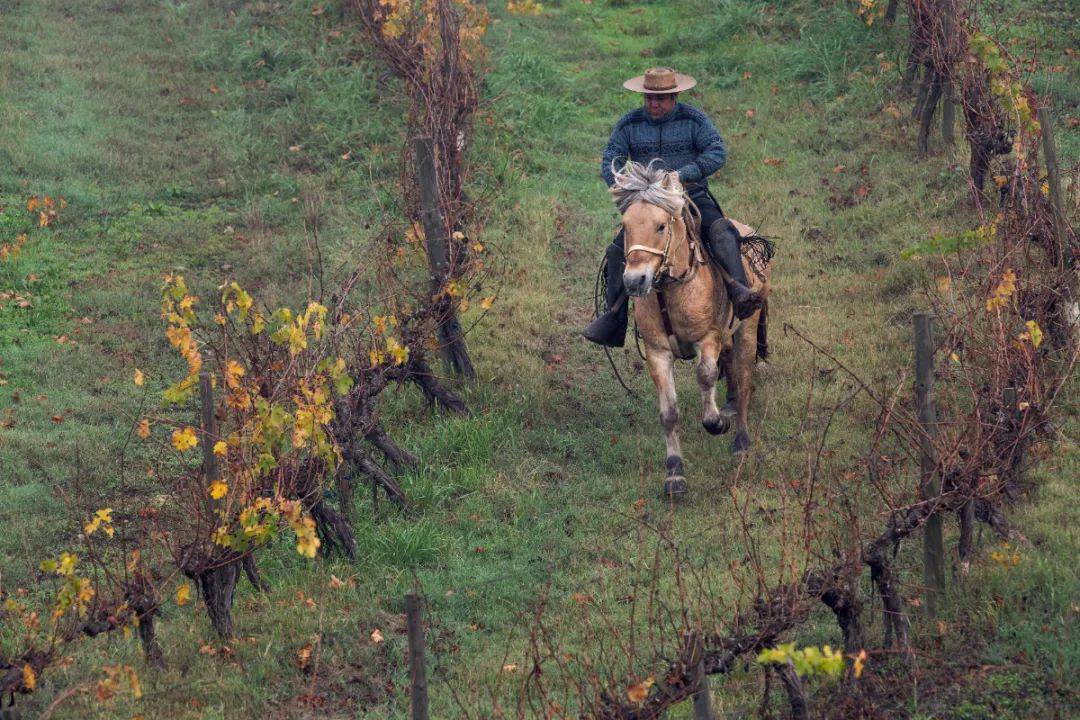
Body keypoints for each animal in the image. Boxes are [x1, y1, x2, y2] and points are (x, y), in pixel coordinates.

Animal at [617, 165, 768, 496]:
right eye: (625, 226)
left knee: (745, 379)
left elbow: (705, 375)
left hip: (746, 332)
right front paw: (674, 473)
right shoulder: (658, 352)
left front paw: (716, 423)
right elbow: (669, 414)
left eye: (661, 226)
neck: (670, 289)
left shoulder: (707, 339)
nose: (635, 280)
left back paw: (741, 440)